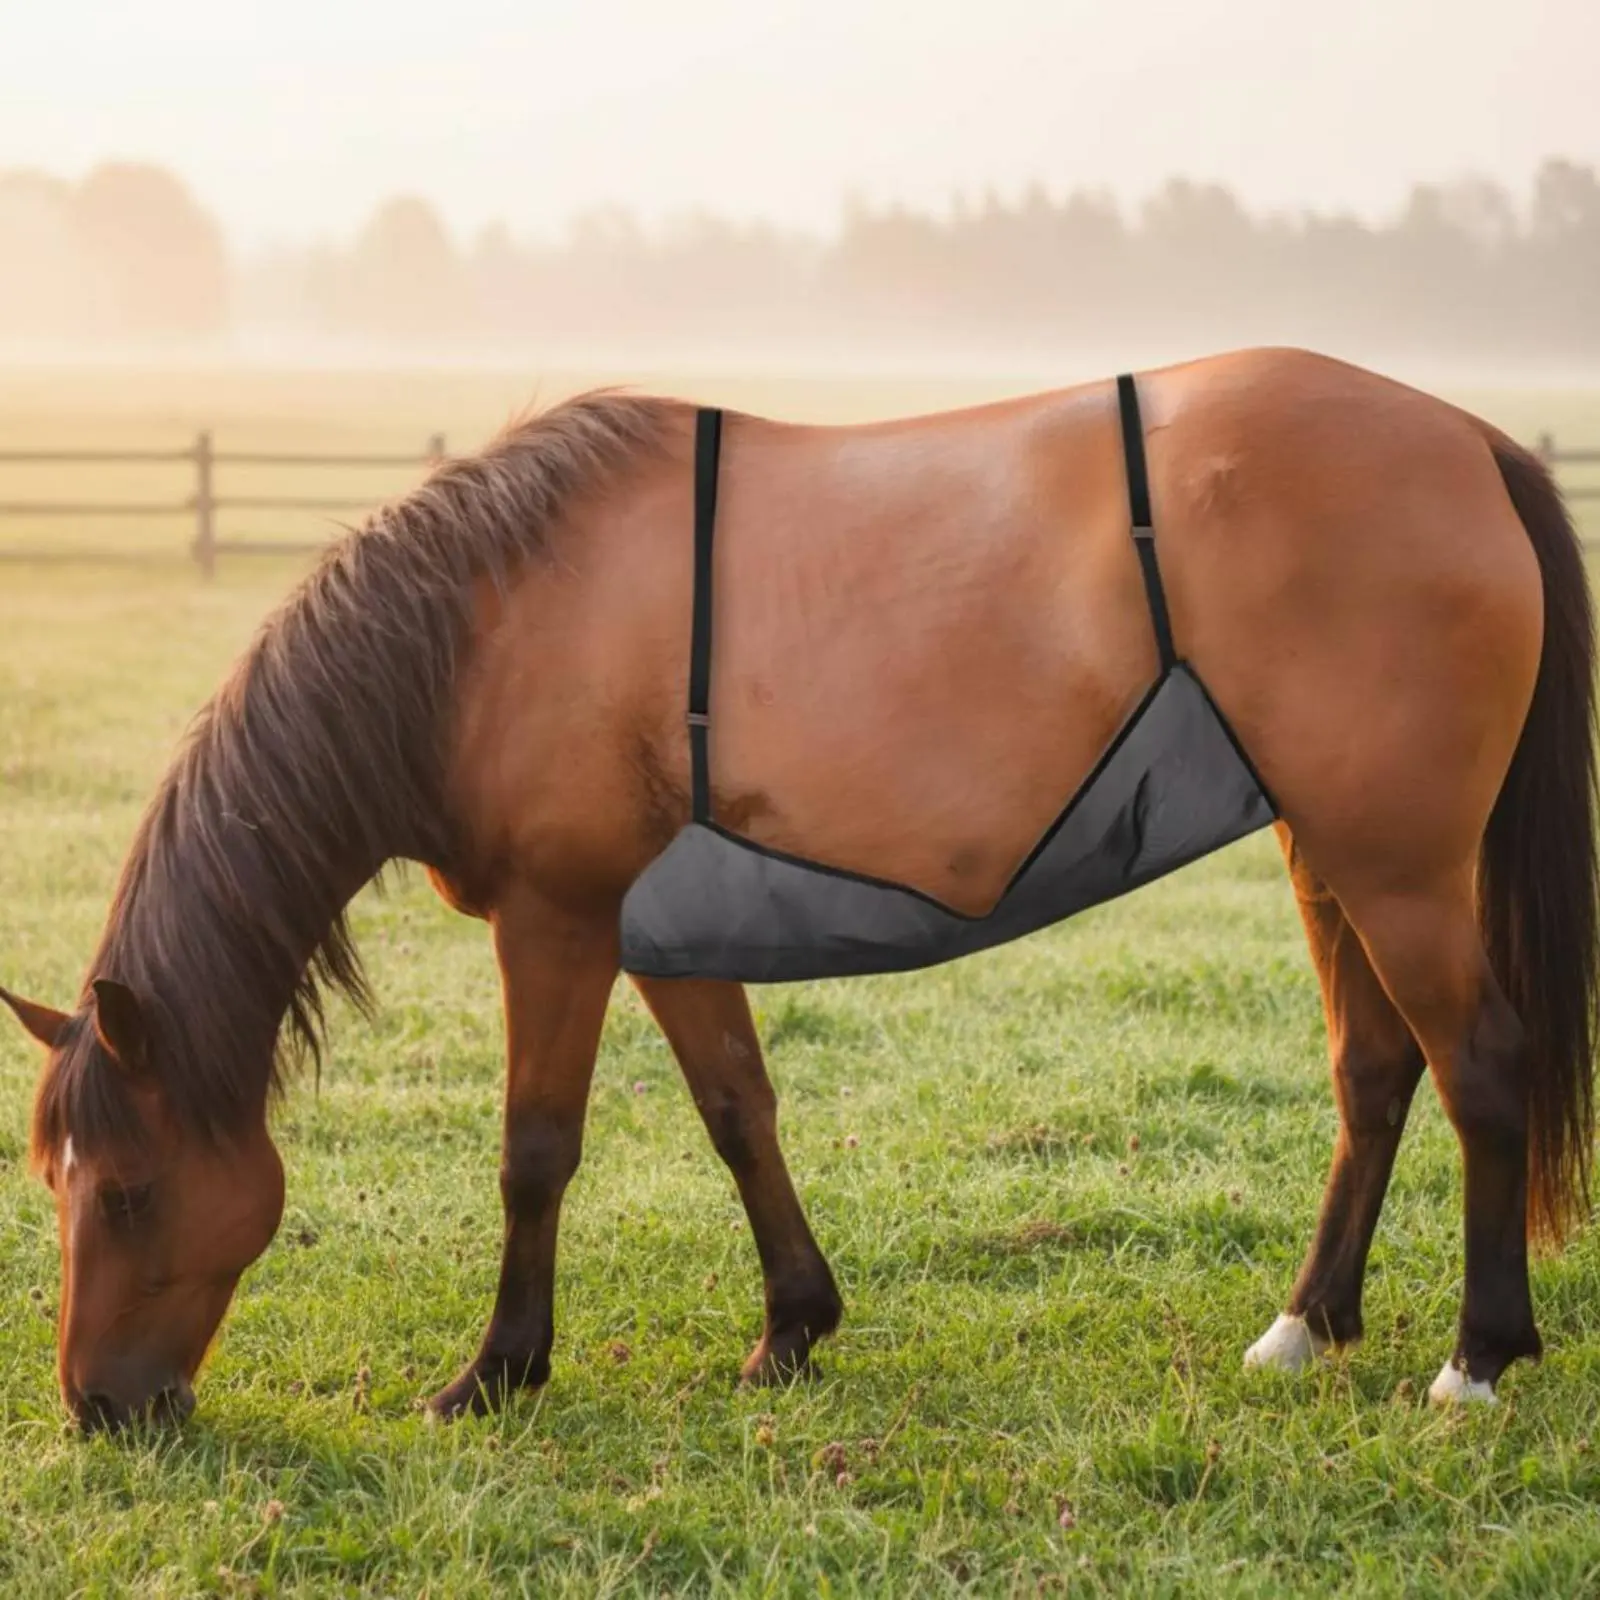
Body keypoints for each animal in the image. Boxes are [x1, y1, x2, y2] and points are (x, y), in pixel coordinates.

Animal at [2, 346, 1593, 1432]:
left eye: (128, 1191)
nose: (98, 1409)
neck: (485, 629)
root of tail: (1467, 439)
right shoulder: (663, 934)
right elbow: (737, 1115)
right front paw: (793, 1326)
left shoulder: (557, 921)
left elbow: (535, 1150)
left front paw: (499, 1370)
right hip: (1329, 848)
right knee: (1376, 1072)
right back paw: (1306, 1325)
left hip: (1397, 863)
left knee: (1481, 1066)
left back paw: (1476, 1354)